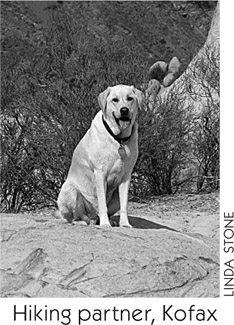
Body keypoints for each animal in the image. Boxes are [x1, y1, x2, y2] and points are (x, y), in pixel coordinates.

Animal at [57, 83, 144, 227]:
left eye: (130, 98)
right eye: (115, 100)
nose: (124, 110)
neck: (119, 139)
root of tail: (91, 216)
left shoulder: (126, 176)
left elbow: (124, 205)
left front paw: (125, 224)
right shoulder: (100, 173)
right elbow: (102, 204)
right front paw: (105, 224)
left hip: (115, 197)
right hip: (70, 190)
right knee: (75, 217)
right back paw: (82, 221)